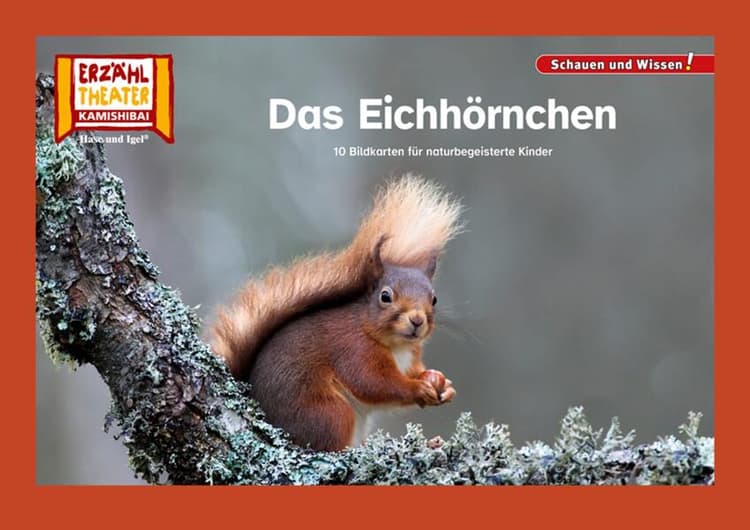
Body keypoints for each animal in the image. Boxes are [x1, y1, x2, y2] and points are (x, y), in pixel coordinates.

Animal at [209, 175, 464, 452]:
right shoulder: (353, 351)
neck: (396, 346)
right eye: (385, 296)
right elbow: (375, 384)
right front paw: (417, 388)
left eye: (434, 299)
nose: (417, 320)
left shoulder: (409, 357)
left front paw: (440, 382)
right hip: (329, 413)